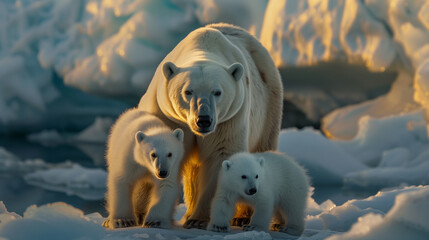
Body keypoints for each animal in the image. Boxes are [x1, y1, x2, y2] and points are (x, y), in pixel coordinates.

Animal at [138, 23, 284, 228]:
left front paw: (198, 220)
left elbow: (220, 158)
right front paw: (141, 214)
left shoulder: (229, 120)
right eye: (188, 91)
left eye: (217, 92)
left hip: (269, 107)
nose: (203, 120)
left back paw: (242, 217)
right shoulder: (168, 115)